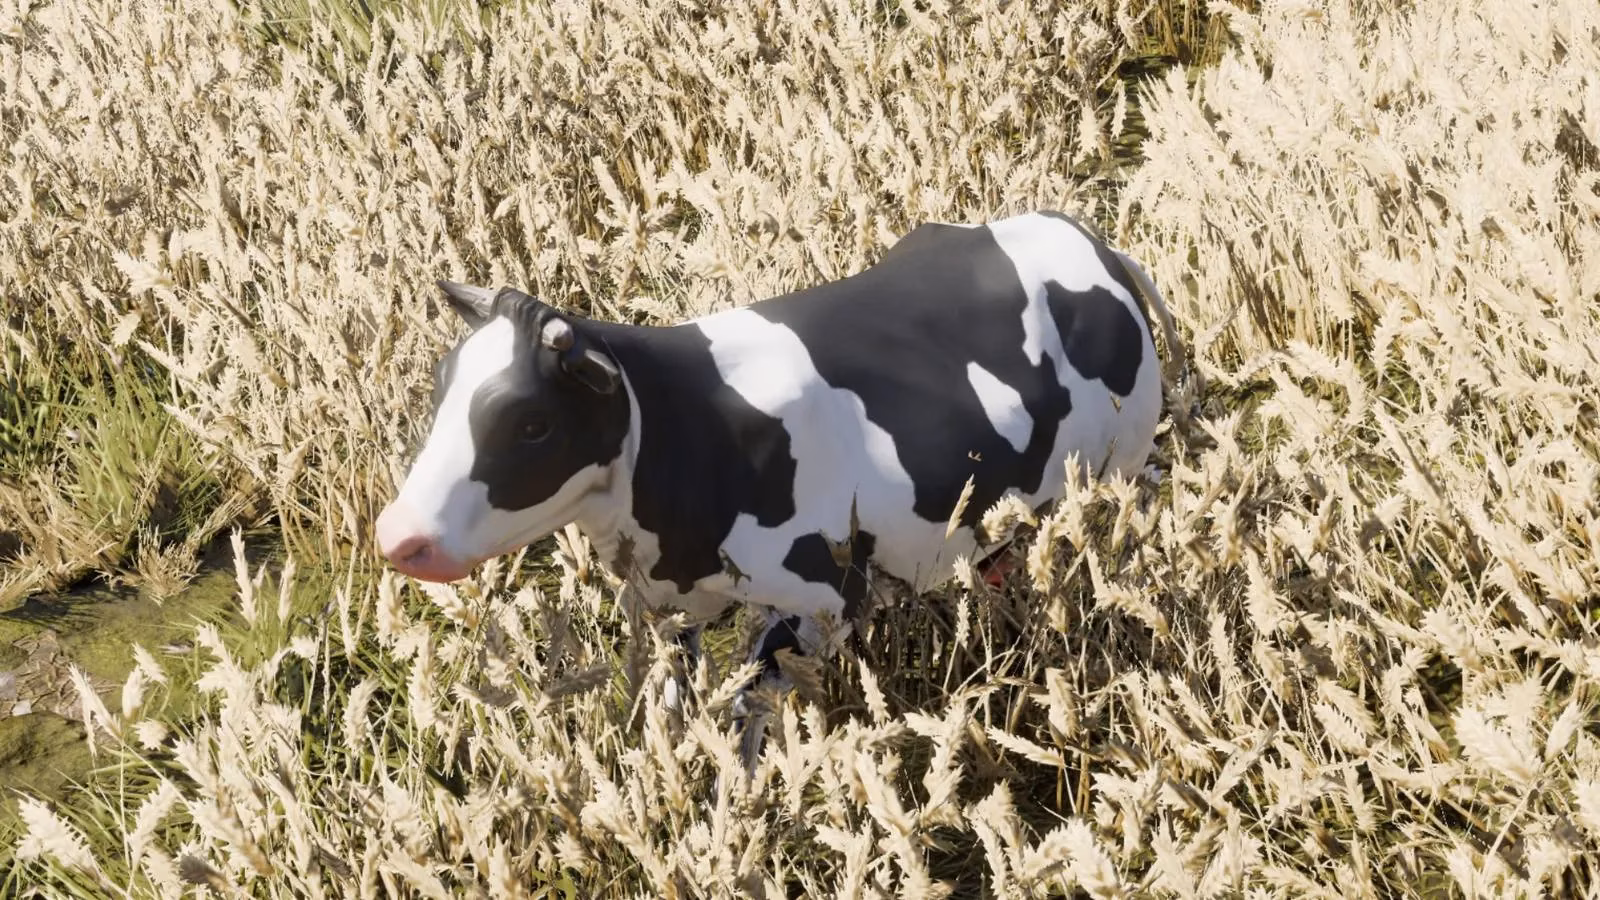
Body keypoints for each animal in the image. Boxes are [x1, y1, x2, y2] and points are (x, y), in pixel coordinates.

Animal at [375, 210, 1180, 771]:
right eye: (443, 387)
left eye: (533, 424)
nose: (397, 535)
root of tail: (1089, 241)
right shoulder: (674, 607)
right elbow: (678, 704)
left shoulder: (827, 600)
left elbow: (747, 704)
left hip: (1115, 475)